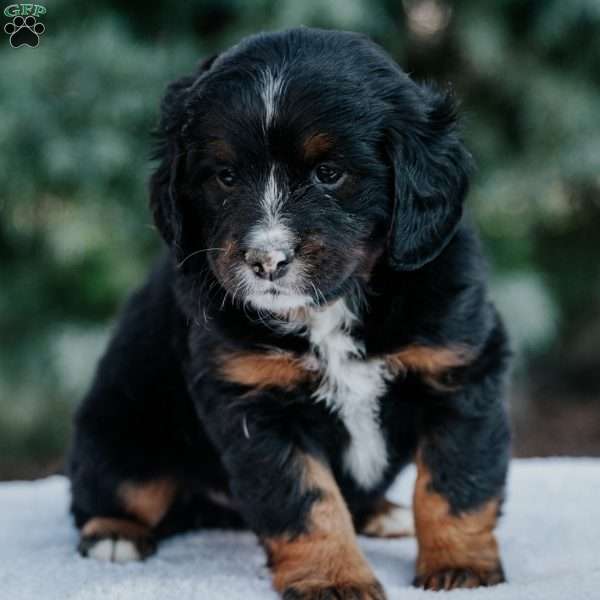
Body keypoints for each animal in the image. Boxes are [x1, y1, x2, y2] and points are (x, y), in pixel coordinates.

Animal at [69, 28, 510, 600]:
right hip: (127, 431)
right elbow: (306, 500)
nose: (265, 261)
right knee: (111, 490)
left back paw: (382, 513)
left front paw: (460, 566)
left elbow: (455, 482)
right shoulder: (256, 402)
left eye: (329, 174)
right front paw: (334, 579)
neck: (331, 306)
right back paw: (114, 535)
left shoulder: (458, 369)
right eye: (225, 176)